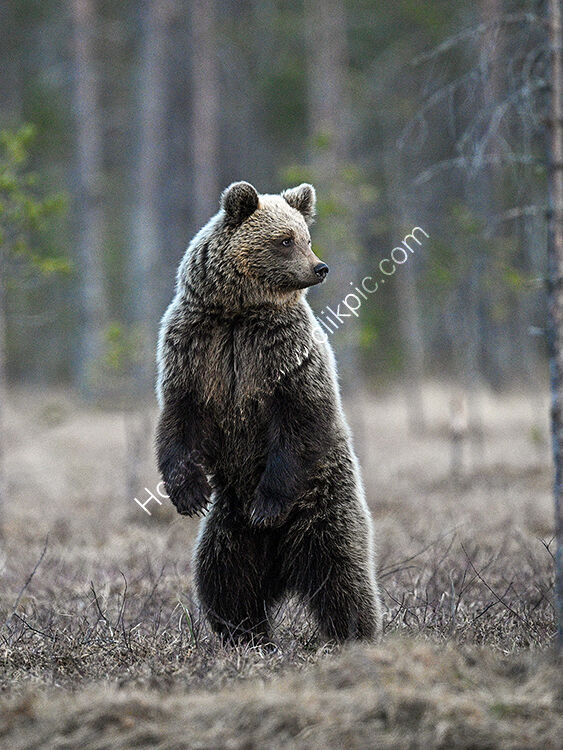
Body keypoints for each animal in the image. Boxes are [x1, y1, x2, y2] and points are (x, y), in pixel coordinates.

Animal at [156, 181, 382, 644]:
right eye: (285, 240)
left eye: (306, 237)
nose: (320, 267)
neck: (238, 312)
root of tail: (282, 568)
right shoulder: (194, 347)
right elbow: (180, 418)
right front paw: (188, 492)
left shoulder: (283, 352)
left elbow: (299, 417)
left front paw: (267, 505)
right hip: (230, 528)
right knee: (224, 580)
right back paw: (246, 634)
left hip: (324, 503)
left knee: (341, 573)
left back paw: (354, 633)